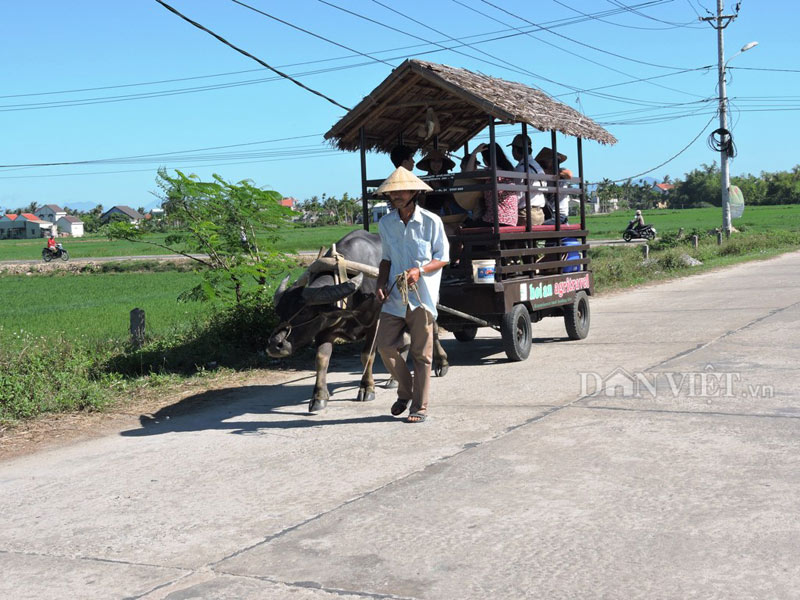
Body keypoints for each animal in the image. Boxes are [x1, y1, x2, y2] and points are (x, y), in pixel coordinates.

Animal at [270, 227, 450, 414]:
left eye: (304, 312)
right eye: (279, 311)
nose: (275, 345)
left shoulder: (376, 324)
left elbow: (367, 356)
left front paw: (367, 388)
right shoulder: (323, 330)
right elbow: (321, 360)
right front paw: (318, 397)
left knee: (433, 332)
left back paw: (441, 363)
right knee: (405, 341)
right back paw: (394, 379)